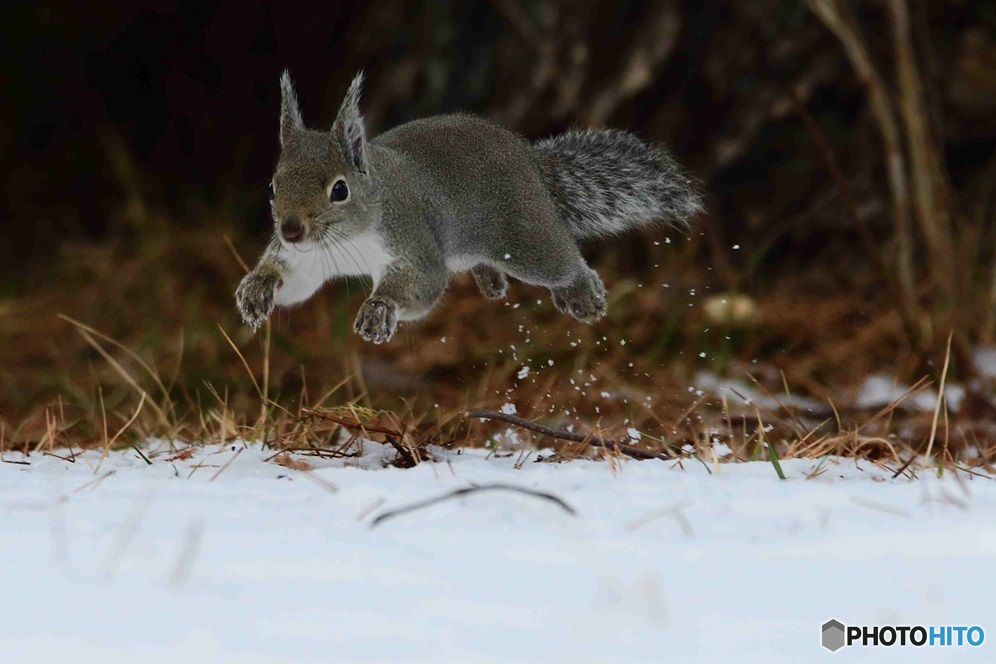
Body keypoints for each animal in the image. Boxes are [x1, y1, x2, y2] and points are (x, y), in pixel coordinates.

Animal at [235, 71, 700, 342]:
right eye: (273, 187)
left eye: (339, 190)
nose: (290, 230)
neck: (349, 237)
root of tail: (528, 158)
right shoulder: (308, 259)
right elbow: (295, 283)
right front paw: (257, 287)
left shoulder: (411, 240)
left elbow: (421, 285)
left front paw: (379, 309)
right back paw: (490, 280)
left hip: (525, 238)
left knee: (562, 262)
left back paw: (583, 294)